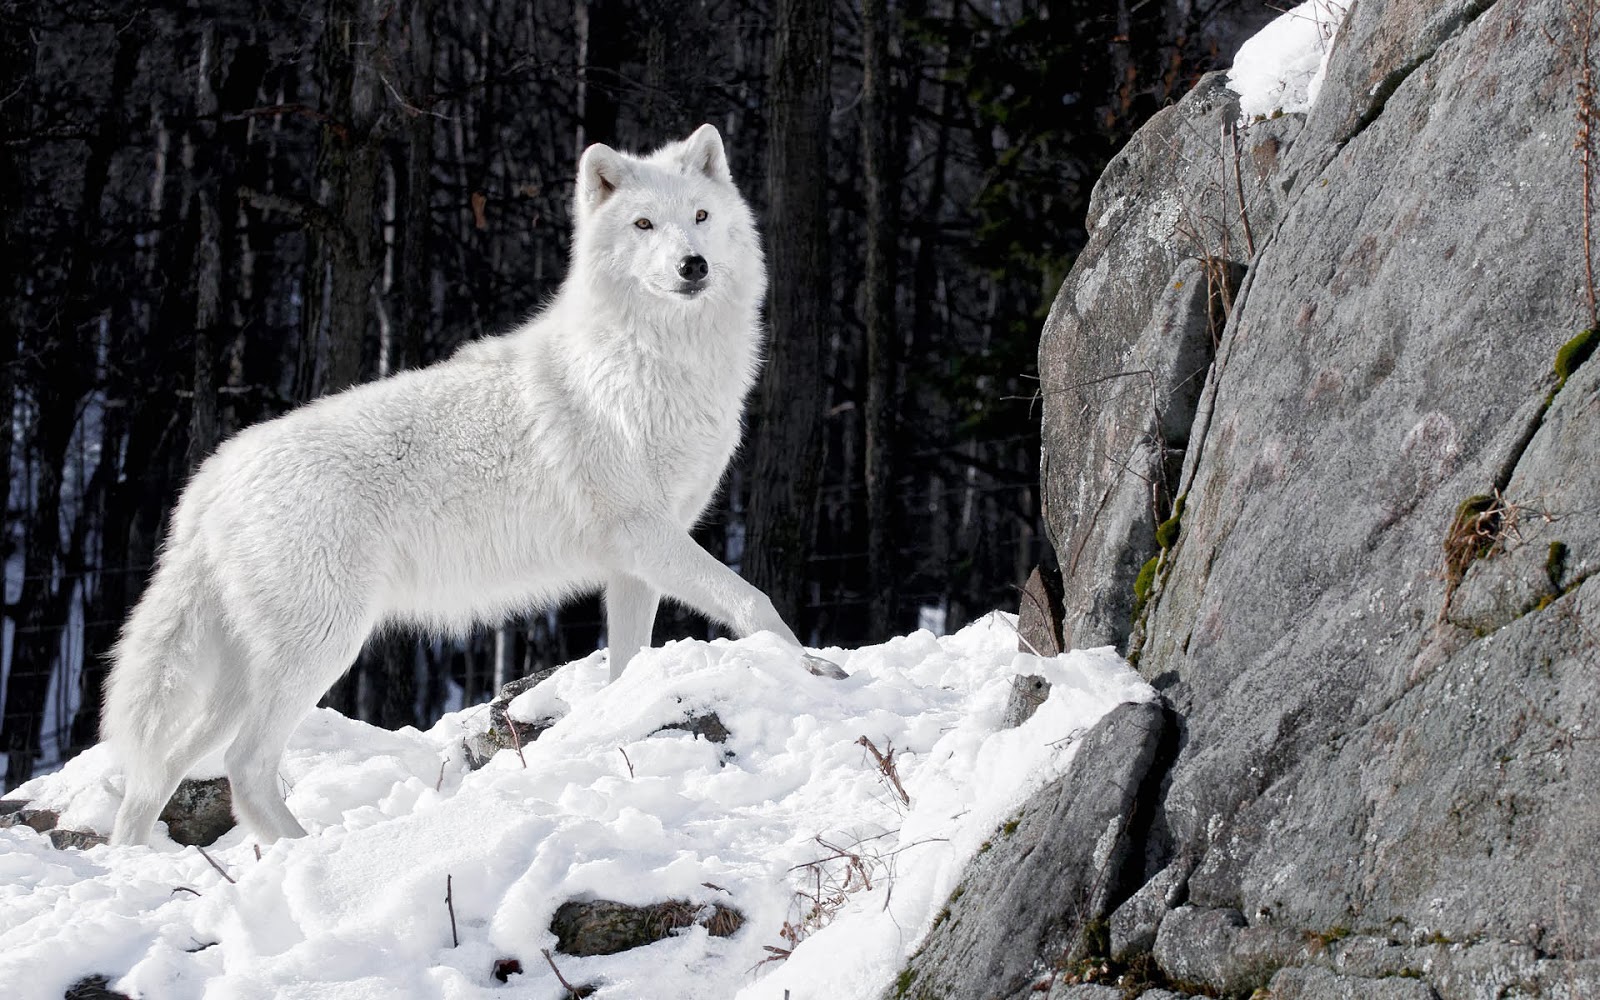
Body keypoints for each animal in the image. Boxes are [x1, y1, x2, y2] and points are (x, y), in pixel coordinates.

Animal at [104, 123, 832, 844]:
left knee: (159, 771)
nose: (692, 266)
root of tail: (211, 477)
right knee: (244, 766)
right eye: (644, 224)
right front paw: (816, 668)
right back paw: (311, 853)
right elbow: (754, 601)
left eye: (700, 217)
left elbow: (629, 663)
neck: (654, 363)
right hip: (321, 648)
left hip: (245, 675)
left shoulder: (637, 563)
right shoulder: (645, 534)